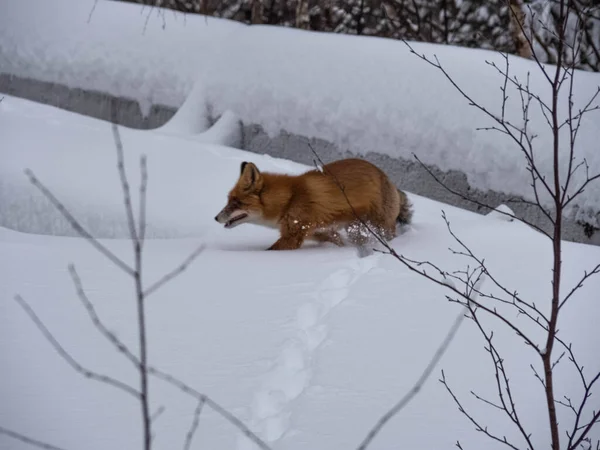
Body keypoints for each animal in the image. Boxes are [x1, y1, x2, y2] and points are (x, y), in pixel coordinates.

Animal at [214, 157, 412, 250]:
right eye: (228, 200)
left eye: (236, 202)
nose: (216, 218)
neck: (290, 199)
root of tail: (386, 177)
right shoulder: (322, 233)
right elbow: (337, 241)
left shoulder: (292, 236)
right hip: (355, 228)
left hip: (381, 225)